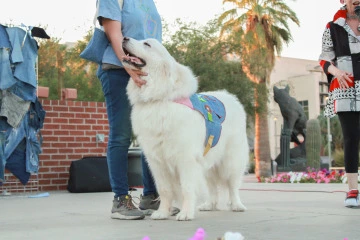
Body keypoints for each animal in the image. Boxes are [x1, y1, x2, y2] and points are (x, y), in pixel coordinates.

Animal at [122, 36, 249, 220]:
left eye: (147, 44)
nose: (124, 37)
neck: (159, 100)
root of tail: (230, 97)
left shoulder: (186, 159)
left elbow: (187, 188)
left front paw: (186, 213)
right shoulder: (157, 162)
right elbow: (165, 190)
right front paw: (162, 213)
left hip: (231, 160)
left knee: (232, 184)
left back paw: (237, 205)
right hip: (207, 162)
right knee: (212, 187)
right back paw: (209, 205)